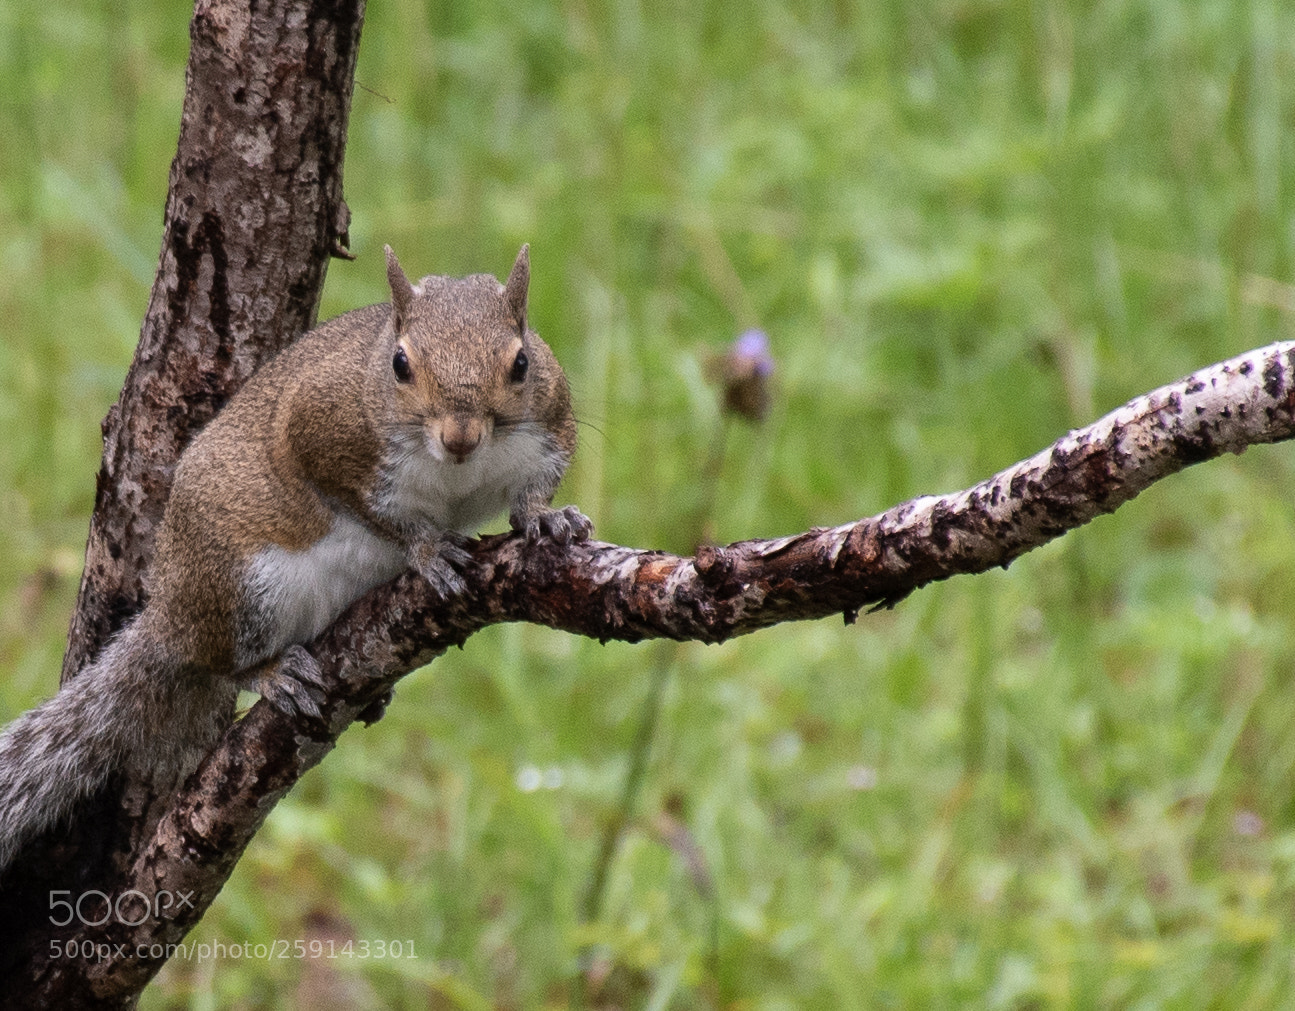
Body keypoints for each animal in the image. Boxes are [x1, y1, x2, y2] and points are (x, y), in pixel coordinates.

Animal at [0, 244, 591, 871]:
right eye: (400, 365)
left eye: (522, 363)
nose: (460, 438)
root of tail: (168, 615)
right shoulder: (320, 435)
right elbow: (382, 515)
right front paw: (428, 548)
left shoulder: (549, 427)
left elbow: (531, 493)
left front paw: (548, 519)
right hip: (241, 588)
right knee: (225, 661)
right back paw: (273, 672)